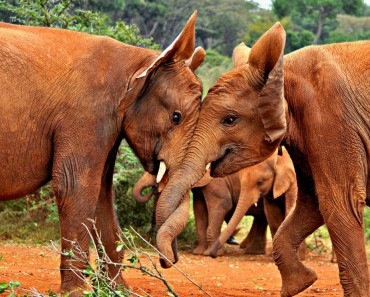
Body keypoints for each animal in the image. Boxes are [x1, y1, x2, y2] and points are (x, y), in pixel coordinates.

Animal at [0, 12, 205, 294]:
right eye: (176, 117)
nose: (169, 261)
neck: (139, 61)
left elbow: (101, 194)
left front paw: (121, 290)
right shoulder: (85, 115)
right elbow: (74, 186)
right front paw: (75, 293)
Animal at [156, 21, 370, 296]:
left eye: (230, 120)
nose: (170, 260)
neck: (283, 70)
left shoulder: (332, 122)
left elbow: (340, 203)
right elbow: (311, 204)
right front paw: (300, 283)